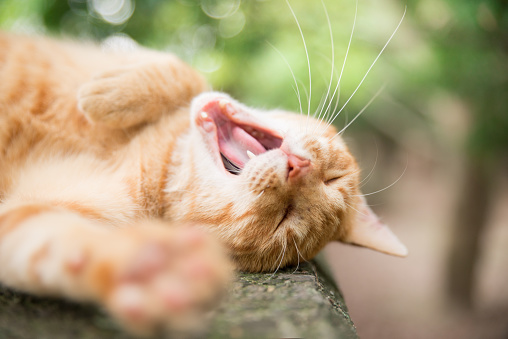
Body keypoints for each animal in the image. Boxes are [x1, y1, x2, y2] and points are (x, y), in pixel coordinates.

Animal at [0, 33, 406, 336]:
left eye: (285, 219)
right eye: (332, 178)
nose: (297, 167)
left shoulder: (39, 219)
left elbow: (57, 243)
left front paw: (147, 267)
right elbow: (190, 78)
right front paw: (110, 94)